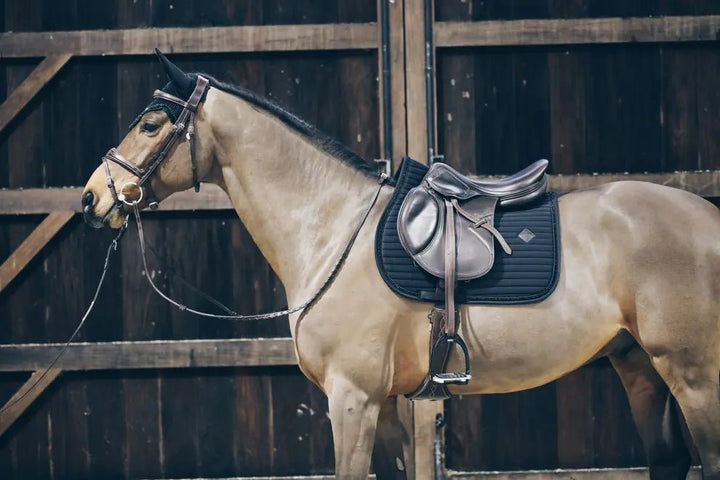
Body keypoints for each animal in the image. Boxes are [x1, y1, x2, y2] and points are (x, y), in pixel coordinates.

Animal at [80, 52, 720, 480]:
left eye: (151, 125)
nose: (92, 199)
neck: (333, 226)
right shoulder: (383, 405)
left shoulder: (352, 399)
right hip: (638, 367)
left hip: (693, 377)